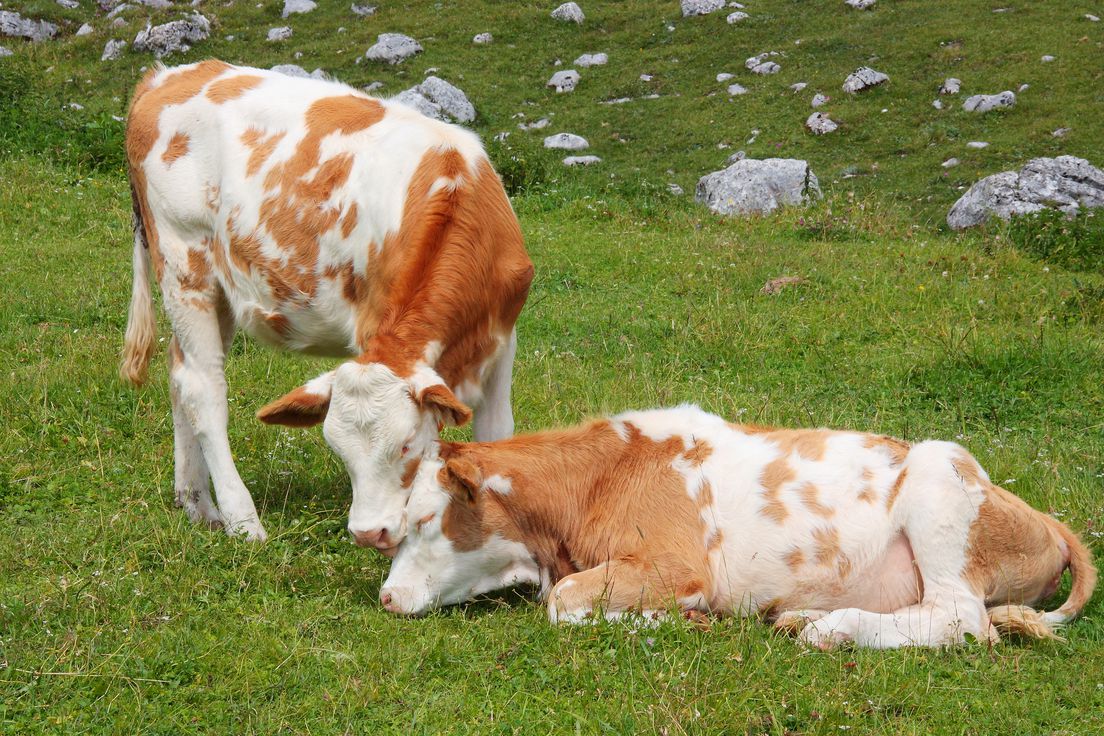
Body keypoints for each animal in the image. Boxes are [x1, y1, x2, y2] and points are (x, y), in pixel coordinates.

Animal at [120, 61, 534, 547]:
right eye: (337, 449)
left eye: (408, 445)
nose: (368, 533)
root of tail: (163, 76)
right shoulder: (369, 324)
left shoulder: (503, 337)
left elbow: (496, 433)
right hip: (183, 261)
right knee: (203, 388)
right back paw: (242, 519)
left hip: (218, 288)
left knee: (180, 372)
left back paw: (197, 503)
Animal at [379, 406, 1095, 648]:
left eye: (426, 519)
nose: (385, 597)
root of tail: (1040, 516)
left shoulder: (675, 564)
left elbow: (560, 602)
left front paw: (680, 619)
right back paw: (803, 618)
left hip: (938, 485)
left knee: (962, 621)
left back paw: (831, 629)